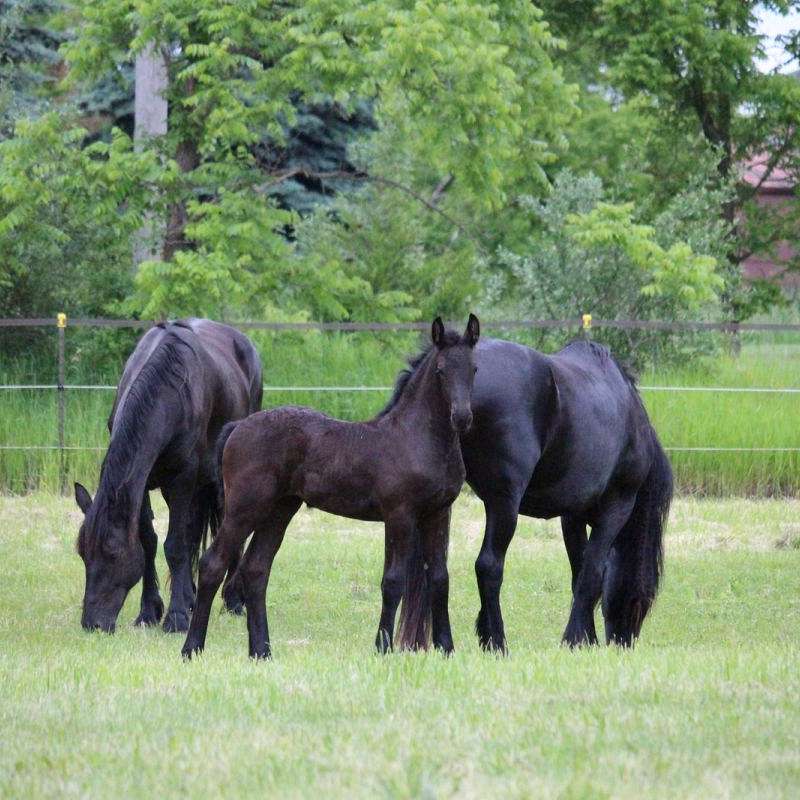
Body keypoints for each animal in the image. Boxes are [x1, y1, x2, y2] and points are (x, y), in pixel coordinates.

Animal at [74, 318, 262, 632]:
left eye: (113, 553)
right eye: (82, 553)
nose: (93, 623)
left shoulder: (182, 479)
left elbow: (175, 544)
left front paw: (175, 618)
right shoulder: (142, 484)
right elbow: (150, 540)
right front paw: (150, 611)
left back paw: (234, 600)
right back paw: (191, 597)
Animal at [183, 316, 482, 660]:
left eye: (474, 368)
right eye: (440, 371)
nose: (462, 417)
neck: (415, 438)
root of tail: (236, 427)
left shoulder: (437, 513)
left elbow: (440, 578)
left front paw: (447, 647)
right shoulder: (399, 515)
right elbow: (393, 581)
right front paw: (382, 646)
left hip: (279, 510)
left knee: (256, 570)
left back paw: (261, 652)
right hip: (244, 509)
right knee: (212, 564)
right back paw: (192, 647)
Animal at [384, 332, 672, 648]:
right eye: (640, 602)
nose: (623, 641)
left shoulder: (572, 515)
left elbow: (579, 574)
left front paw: (586, 639)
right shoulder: (616, 508)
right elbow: (592, 575)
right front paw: (575, 638)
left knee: (436, 571)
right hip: (504, 504)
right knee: (489, 566)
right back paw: (496, 640)